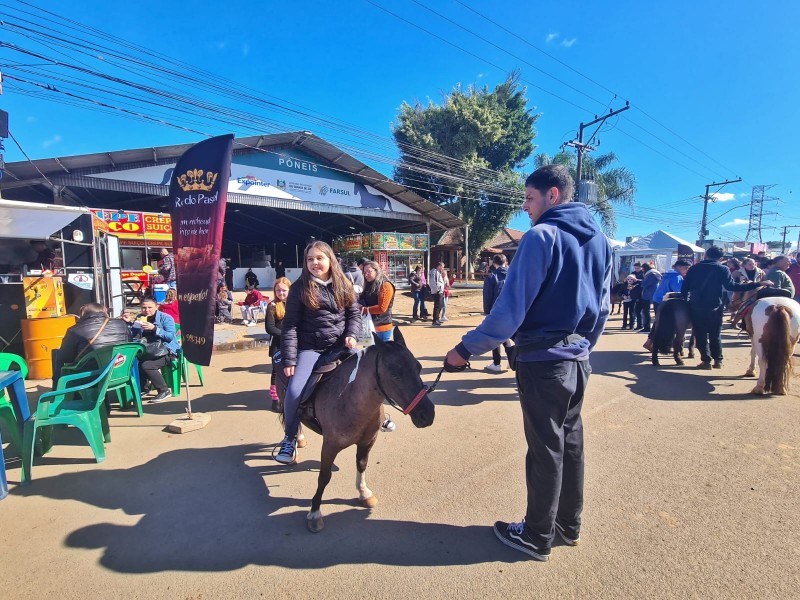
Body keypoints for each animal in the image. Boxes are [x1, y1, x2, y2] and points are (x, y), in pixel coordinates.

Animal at [276, 328, 438, 528]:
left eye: (419, 367)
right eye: (395, 374)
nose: (427, 414)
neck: (349, 398)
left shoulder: (367, 441)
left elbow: (361, 465)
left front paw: (364, 493)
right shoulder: (329, 446)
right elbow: (324, 477)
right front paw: (314, 512)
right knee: (291, 421)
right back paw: (290, 447)